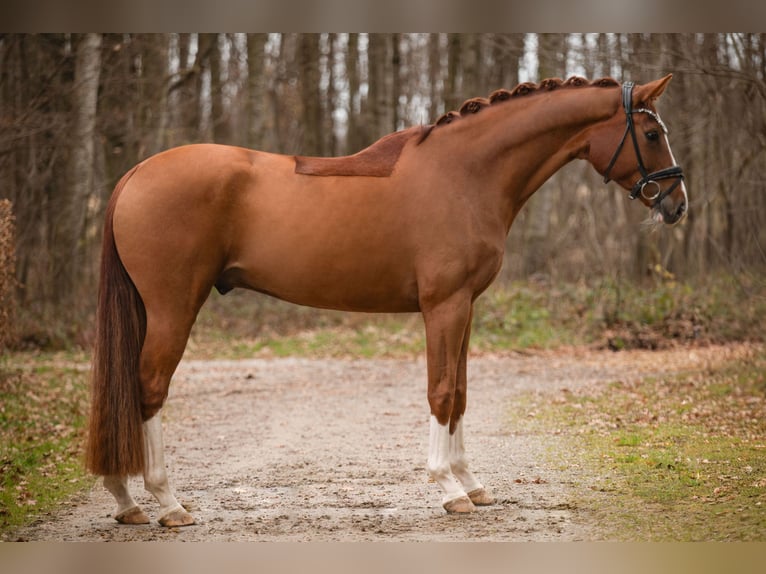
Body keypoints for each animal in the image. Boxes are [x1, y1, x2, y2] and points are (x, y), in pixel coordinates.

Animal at [85, 75, 687, 526]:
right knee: (148, 388)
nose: (677, 203)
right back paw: (167, 503)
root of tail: (137, 173)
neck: (466, 173)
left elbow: (461, 393)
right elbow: (441, 391)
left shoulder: (466, 307)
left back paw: (126, 501)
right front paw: (448, 490)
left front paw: (473, 483)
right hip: (173, 307)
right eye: (651, 133)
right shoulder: (445, 306)